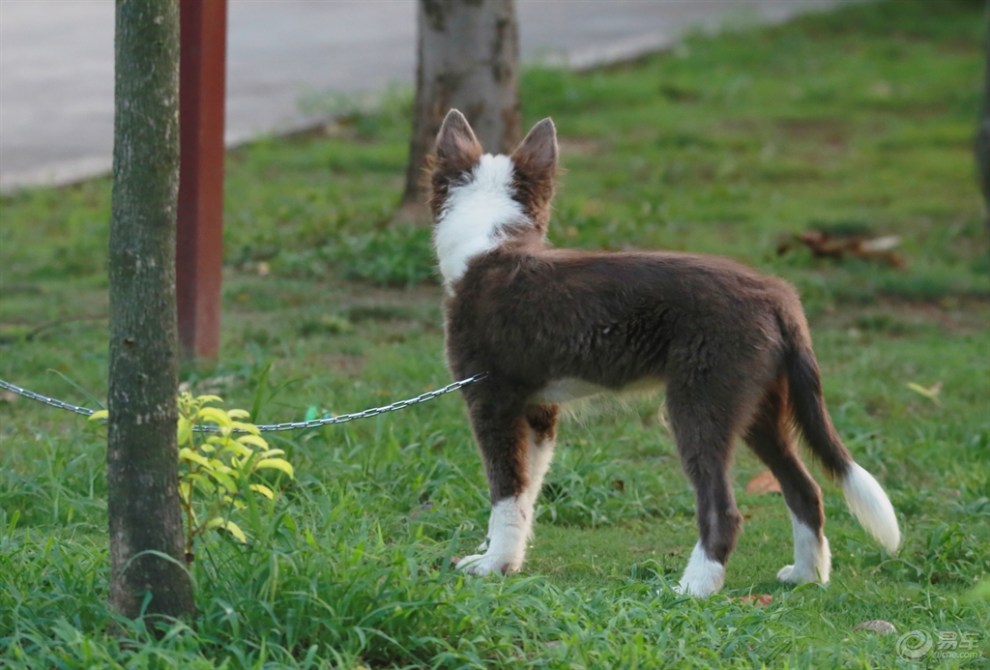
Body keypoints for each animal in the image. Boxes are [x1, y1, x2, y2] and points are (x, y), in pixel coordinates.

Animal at [430, 110, 904, 600]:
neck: (490, 243)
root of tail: (778, 297)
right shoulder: (539, 410)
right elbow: (526, 490)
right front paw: (507, 559)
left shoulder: (491, 399)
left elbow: (505, 490)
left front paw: (492, 567)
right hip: (757, 404)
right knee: (804, 489)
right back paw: (806, 575)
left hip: (698, 400)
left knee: (723, 508)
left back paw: (693, 587)